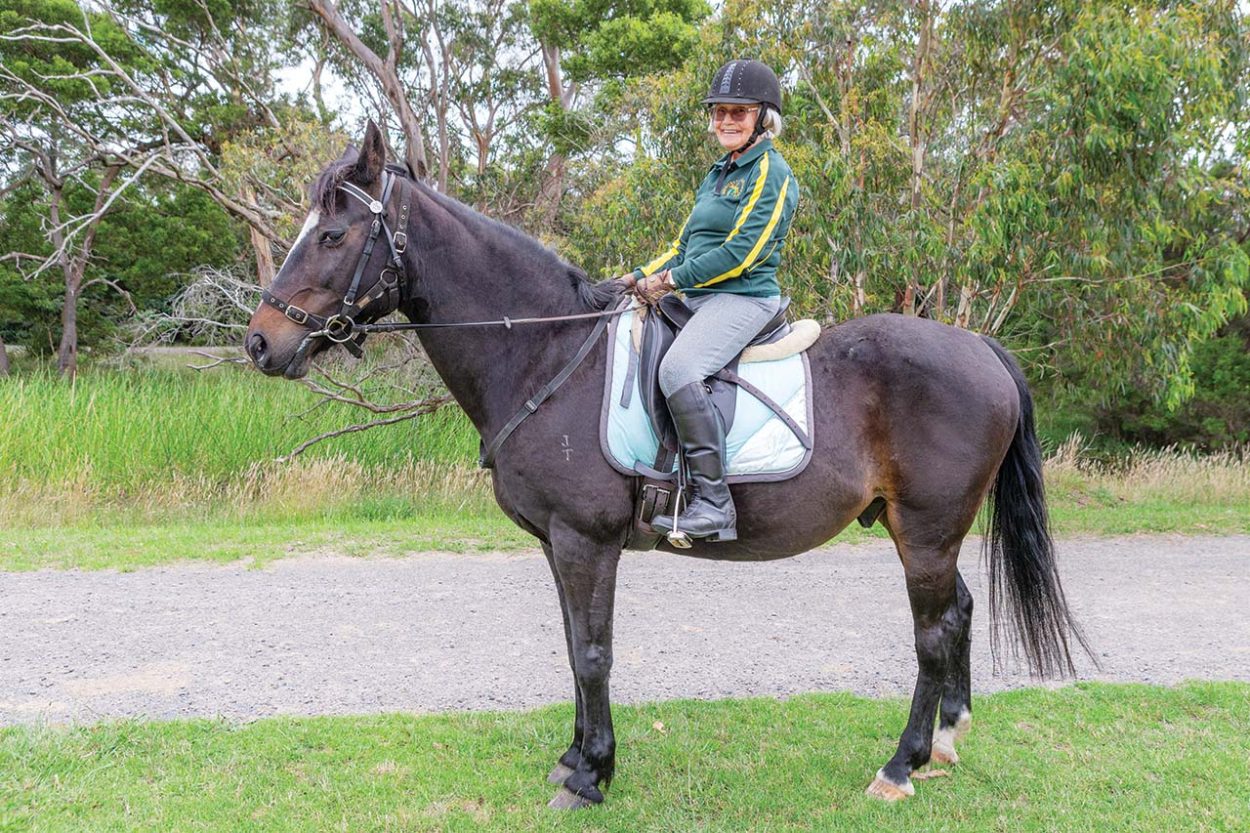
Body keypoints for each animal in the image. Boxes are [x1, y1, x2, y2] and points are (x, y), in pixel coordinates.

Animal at [241, 121, 1085, 805]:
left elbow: (592, 652)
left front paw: (591, 775)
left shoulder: (585, 540)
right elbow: (572, 644)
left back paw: (900, 765)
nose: (260, 343)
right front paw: (575, 756)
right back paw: (945, 741)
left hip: (928, 528)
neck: (546, 350)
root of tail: (977, 345)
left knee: (934, 632)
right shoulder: (558, 543)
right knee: (960, 611)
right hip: (925, 530)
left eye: (333, 236)